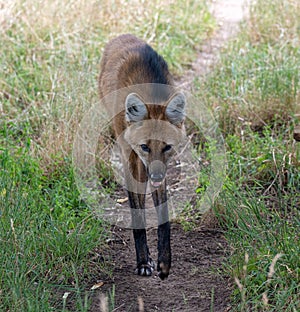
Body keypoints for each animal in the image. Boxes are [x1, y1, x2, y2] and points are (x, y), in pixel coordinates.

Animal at [99, 34, 185, 280]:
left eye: (167, 147)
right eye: (145, 146)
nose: (155, 175)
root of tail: (123, 35)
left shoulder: (160, 168)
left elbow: (163, 216)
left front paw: (164, 263)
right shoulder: (131, 157)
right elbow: (137, 212)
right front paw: (143, 262)